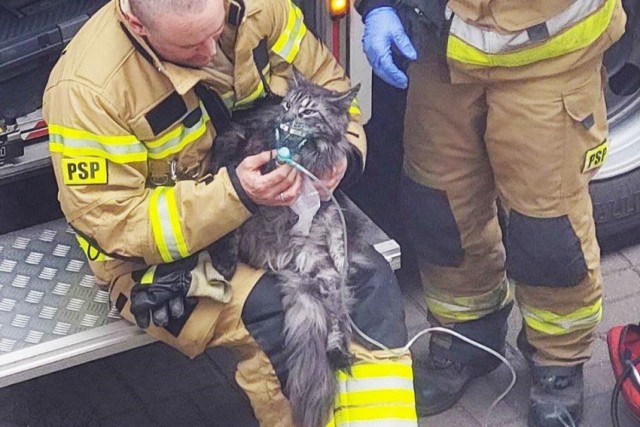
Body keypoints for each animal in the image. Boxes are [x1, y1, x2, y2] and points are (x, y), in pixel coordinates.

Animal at [210, 72, 370, 427]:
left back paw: (337, 349)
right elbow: (230, 218)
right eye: (286, 106)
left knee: (337, 305)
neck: (301, 157)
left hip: (325, 263)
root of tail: (286, 259)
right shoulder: (236, 159)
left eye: (308, 112)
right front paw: (224, 262)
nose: (285, 119)